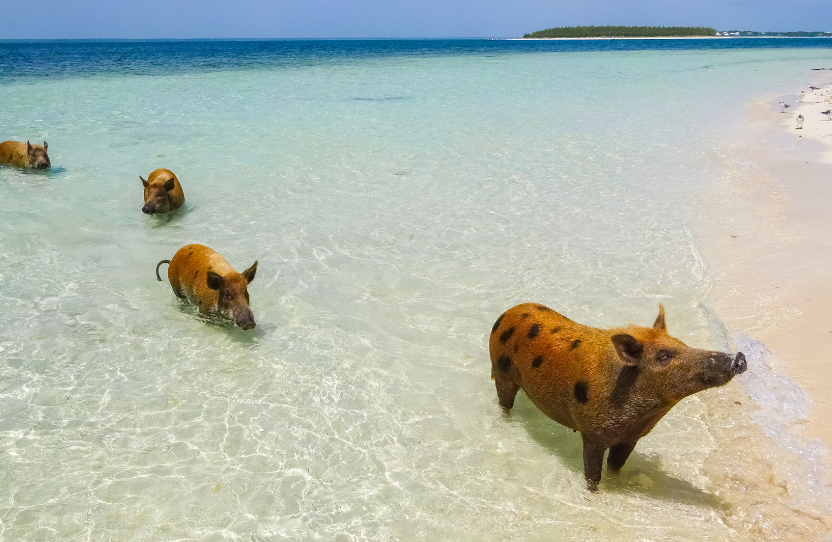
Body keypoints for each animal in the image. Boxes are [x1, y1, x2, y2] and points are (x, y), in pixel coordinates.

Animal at [489, 303, 746, 491]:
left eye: (683, 344)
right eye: (664, 356)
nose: (739, 358)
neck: (641, 415)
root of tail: (507, 312)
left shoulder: (630, 438)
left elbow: (615, 466)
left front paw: (620, 482)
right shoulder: (592, 434)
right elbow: (592, 474)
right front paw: (594, 493)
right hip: (501, 371)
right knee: (504, 402)